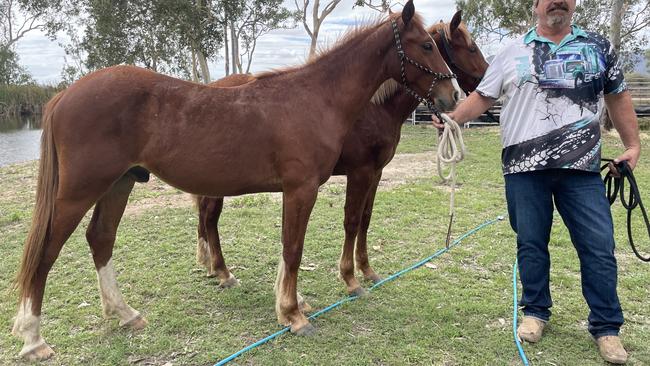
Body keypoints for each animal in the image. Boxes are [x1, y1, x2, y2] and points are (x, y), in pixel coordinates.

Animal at [10, 0, 456, 360]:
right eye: (427, 45)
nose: (451, 96)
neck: (315, 98)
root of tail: (62, 96)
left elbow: (290, 249)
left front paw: (292, 306)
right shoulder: (302, 189)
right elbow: (293, 249)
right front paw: (294, 315)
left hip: (120, 183)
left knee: (100, 239)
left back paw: (126, 314)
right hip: (79, 191)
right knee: (46, 252)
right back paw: (34, 339)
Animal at [192, 10, 486, 296]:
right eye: (471, 48)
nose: (457, 94)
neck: (376, 107)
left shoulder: (376, 172)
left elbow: (366, 219)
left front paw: (367, 270)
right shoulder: (360, 172)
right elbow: (352, 220)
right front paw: (350, 278)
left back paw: (211, 265)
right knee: (210, 215)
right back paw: (223, 272)